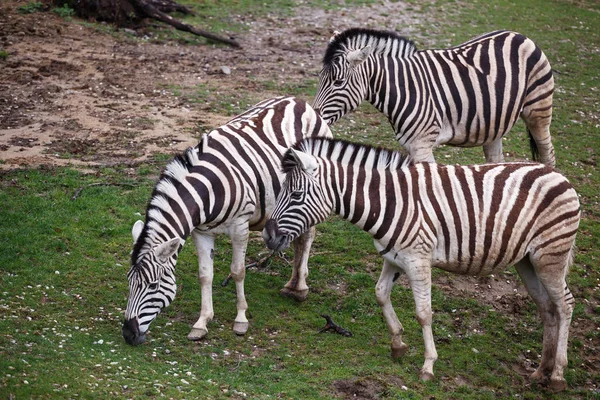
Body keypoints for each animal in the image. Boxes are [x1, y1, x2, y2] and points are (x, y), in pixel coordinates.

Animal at [119, 95, 330, 346]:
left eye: (152, 285)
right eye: (129, 281)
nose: (128, 334)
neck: (208, 190)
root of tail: (298, 100)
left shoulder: (240, 226)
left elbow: (238, 271)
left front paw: (241, 319)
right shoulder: (201, 232)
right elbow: (205, 275)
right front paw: (202, 322)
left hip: (309, 198)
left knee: (307, 237)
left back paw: (300, 288)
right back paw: (292, 285)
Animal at [262, 138, 580, 390]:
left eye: (296, 195)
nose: (267, 235)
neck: (389, 202)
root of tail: (558, 175)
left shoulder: (418, 260)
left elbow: (424, 313)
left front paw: (428, 366)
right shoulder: (393, 258)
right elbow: (380, 294)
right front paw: (398, 344)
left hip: (550, 256)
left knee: (565, 305)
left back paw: (558, 375)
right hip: (527, 262)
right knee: (547, 308)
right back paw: (540, 371)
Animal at [312, 28, 556, 166]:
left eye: (338, 82)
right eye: (320, 78)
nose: (315, 117)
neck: (405, 88)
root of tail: (519, 35)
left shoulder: (422, 144)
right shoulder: (410, 146)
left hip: (538, 111)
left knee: (548, 154)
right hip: (494, 122)